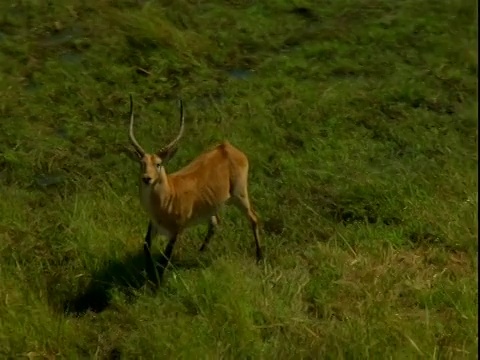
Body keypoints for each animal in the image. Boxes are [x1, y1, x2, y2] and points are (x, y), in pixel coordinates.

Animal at [126, 95, 262, 284]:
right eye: (142, 163)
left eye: (158, 164)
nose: (147, 178)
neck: (168, 197)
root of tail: (226, 148)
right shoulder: (153, 226)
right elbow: (146, 247)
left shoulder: (176, 232)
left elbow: (164, 260)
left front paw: (157, 284)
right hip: (213, 206)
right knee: (216, 223)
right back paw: (199, 254)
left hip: (239, 195)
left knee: (254, 218)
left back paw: (259, 258)